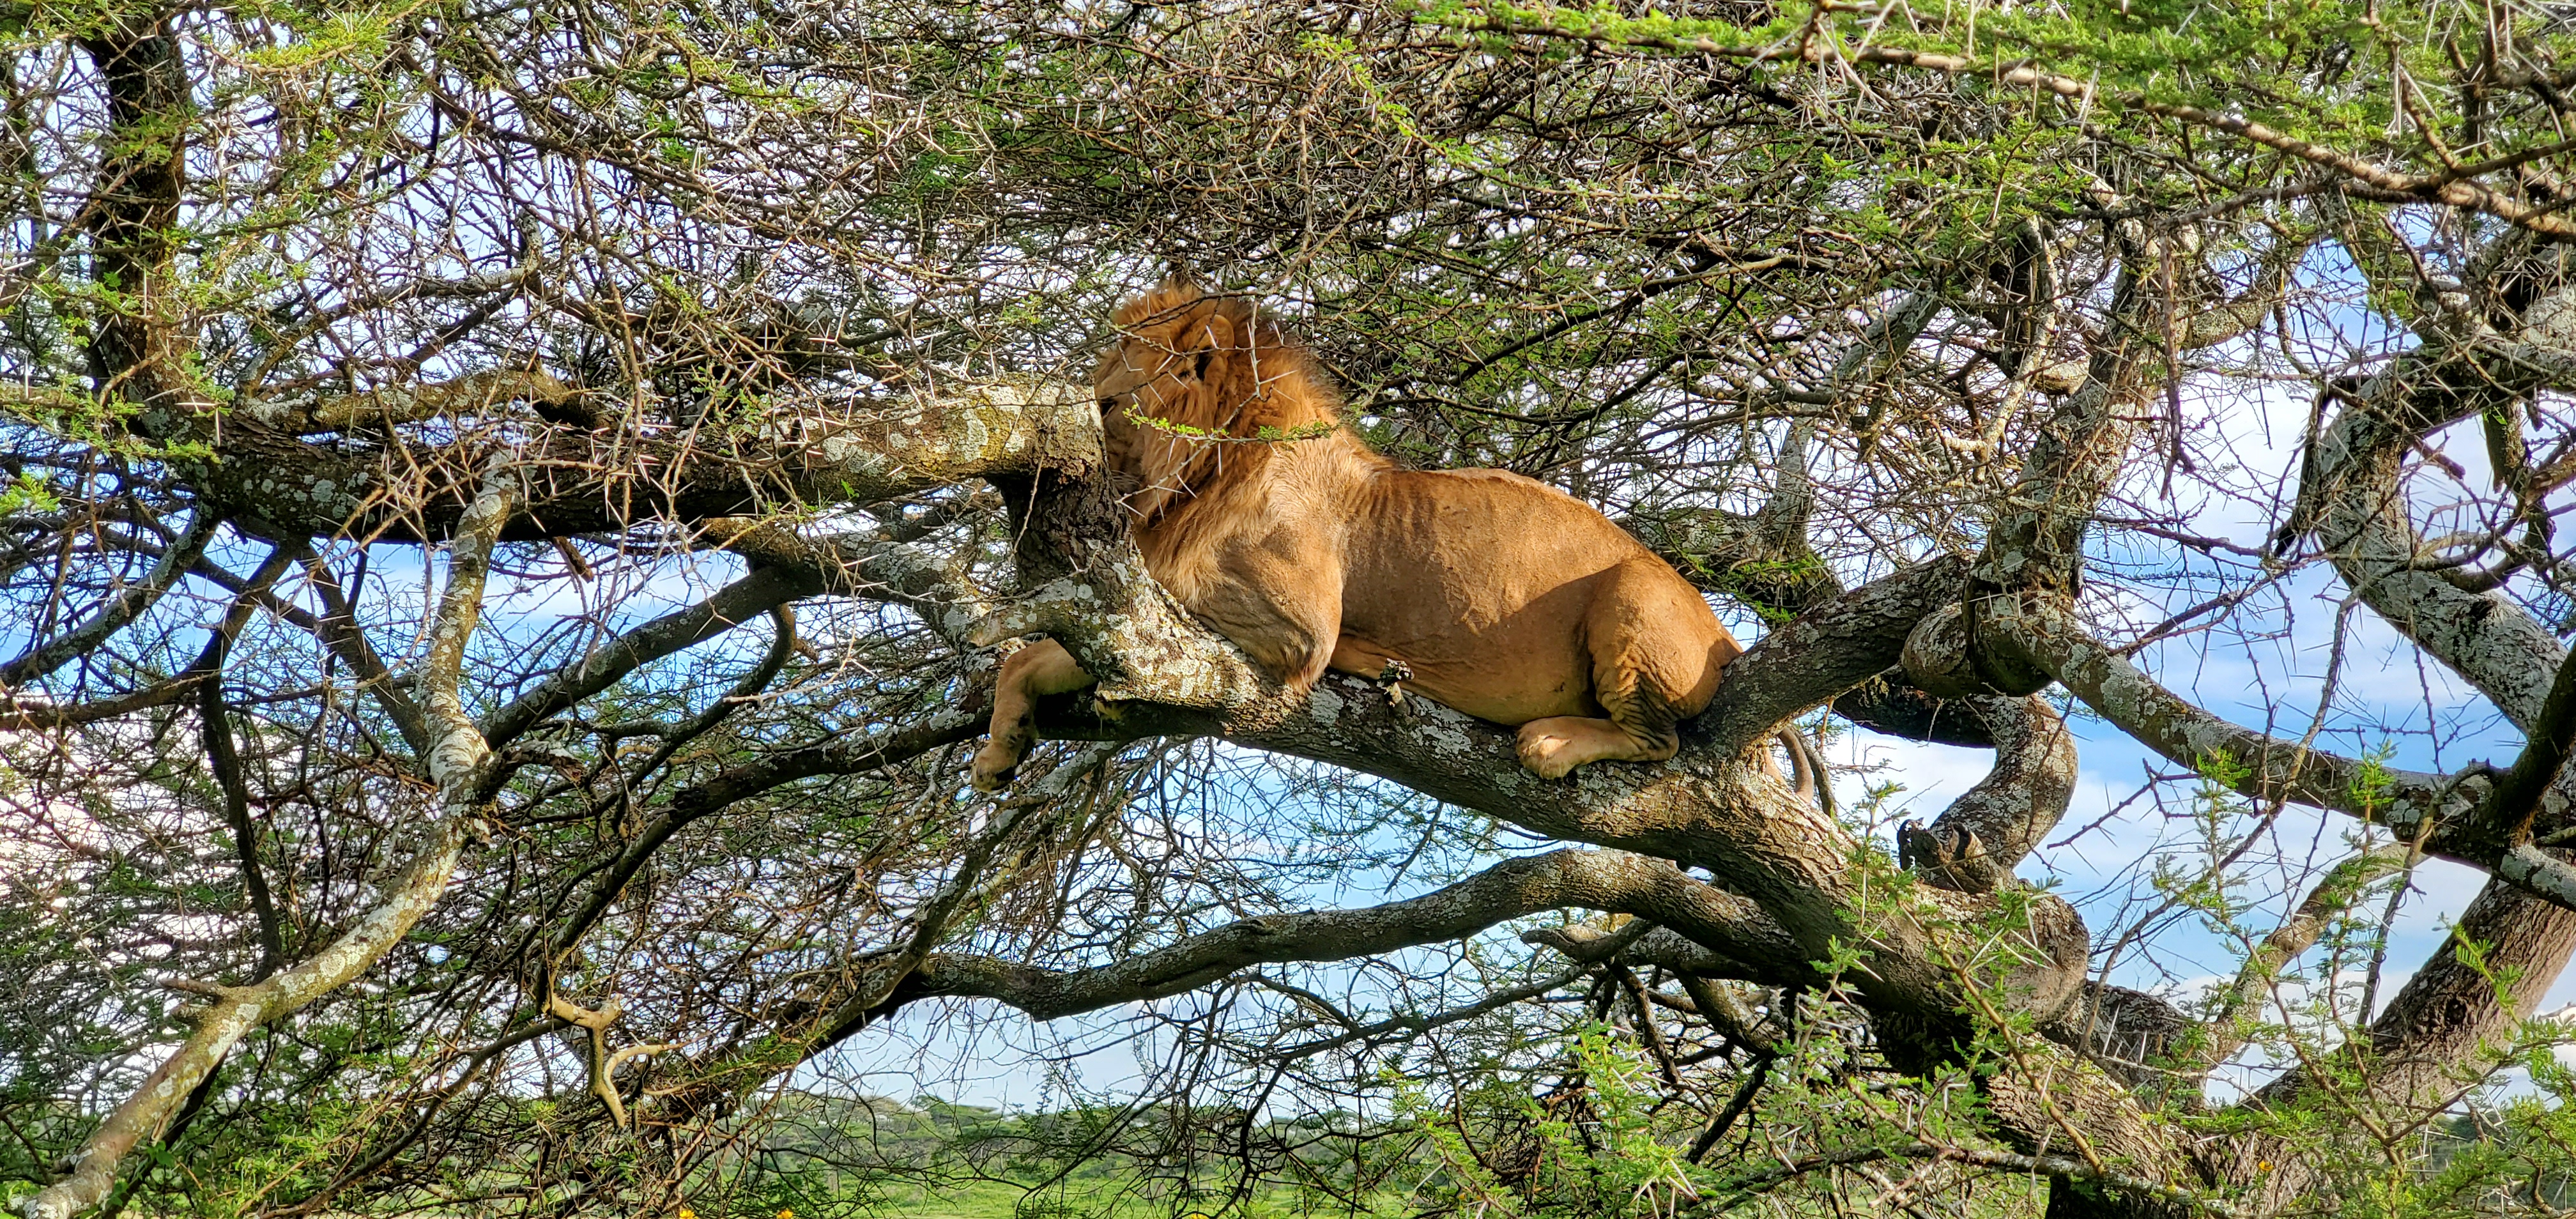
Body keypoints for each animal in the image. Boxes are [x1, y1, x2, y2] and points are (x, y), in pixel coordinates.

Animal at [971, 282, 1744, 790]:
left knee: (1660, 742)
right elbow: (1045, 652)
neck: (1209, 467)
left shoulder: (1297, 629)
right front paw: (1002, 748)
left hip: (1635, 591)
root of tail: (1727, 638)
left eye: (1105, 404)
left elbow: (1049, 645)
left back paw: (1553, 742)